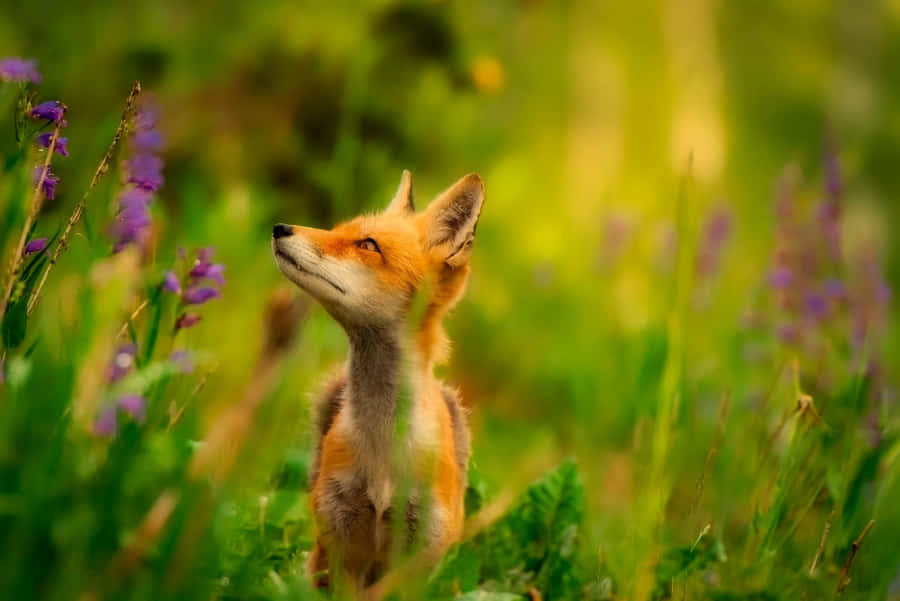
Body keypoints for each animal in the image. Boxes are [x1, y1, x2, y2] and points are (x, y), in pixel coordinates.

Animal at [271, 170, 484, 591]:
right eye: (337, 230)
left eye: (367, 245)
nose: (280, 227)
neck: (383, 451)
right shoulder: (342, 545)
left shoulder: (418, 556)